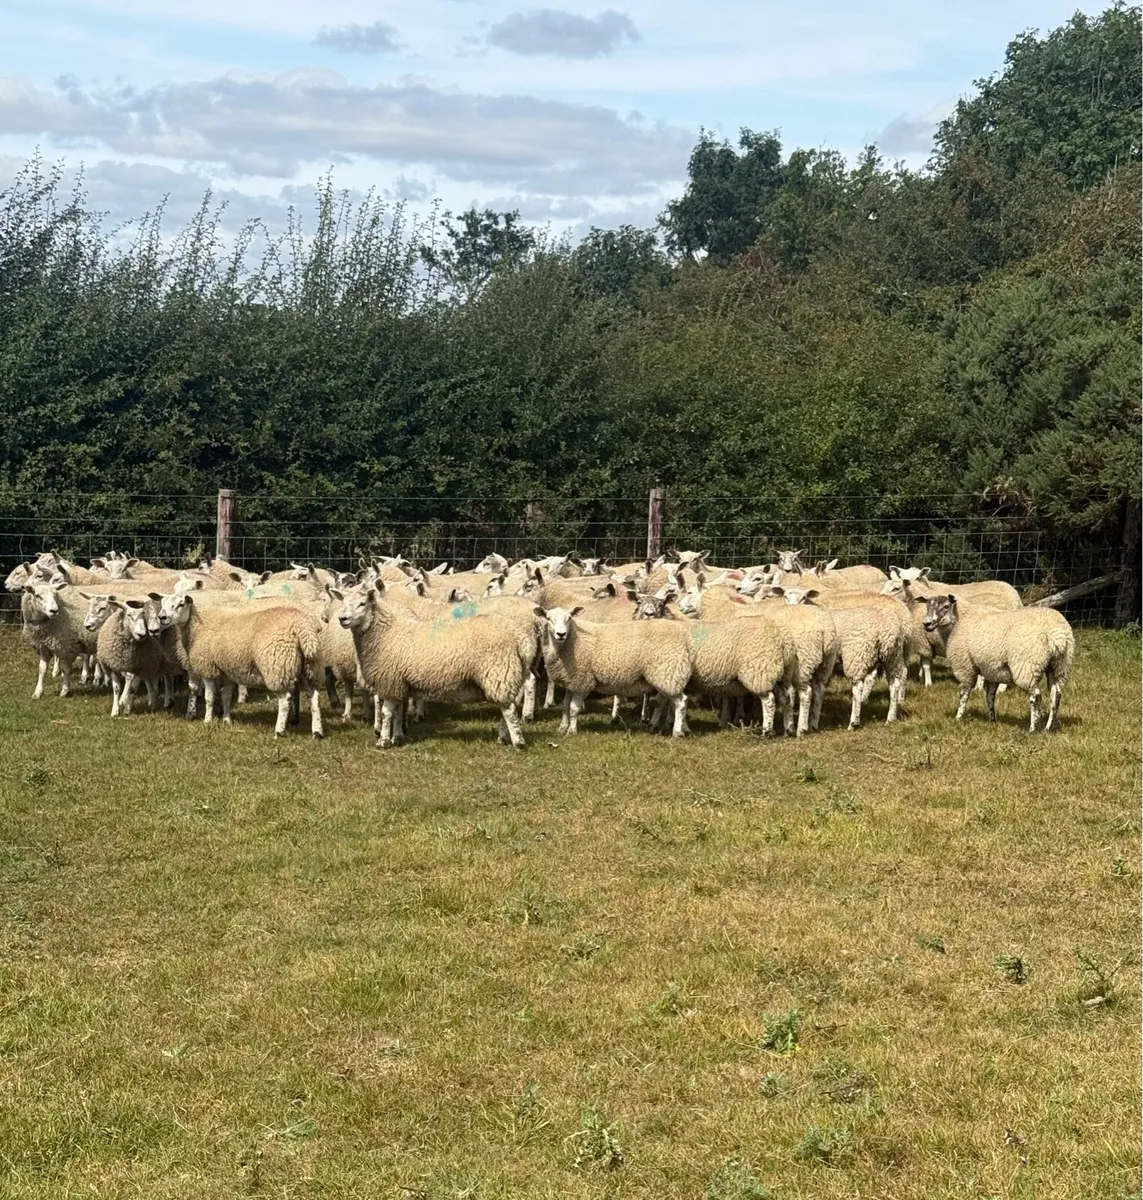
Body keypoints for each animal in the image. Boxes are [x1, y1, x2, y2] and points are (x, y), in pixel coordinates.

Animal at [157, 592, 325, 737]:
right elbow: (225, 697)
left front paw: (207, 721)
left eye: (181, 604)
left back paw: (279, 731)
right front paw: (226, 720)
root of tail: (303, 629)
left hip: (277, 667)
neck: (197, 627)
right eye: (162, 604)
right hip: (310, 667)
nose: (162, 617)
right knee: (314, 697)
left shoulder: (207, 669)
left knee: (285, 701)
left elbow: (209, 697)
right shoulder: (228, 671)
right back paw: (317, 731)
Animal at [532, 605, 693, 737]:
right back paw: (660, 726)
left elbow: (573, 708)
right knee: (664, 700)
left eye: (569, 618)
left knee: (681, 702)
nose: (561, 634)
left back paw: (677, 732)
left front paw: (571, 731)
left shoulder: (582, 681)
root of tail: (684, 635)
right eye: (548, 619)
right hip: (665, 675)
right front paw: (562, 728)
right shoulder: (571, 682)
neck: (569, 643)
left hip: (668, 671)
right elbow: (565, 706)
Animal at [780, 587, 909, 728]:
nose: (793, 608)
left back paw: (853, 723)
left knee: (858, 688)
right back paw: (891, 718)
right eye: (785, 596)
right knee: (895, 684)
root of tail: (884, 626)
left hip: (858, 654)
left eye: (803, 597)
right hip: (892, 655)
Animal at [922, 595, 1074, 731]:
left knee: (1036, 697)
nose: (926, 624)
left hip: (1027, 666)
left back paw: (1032, 729)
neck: (960, 619)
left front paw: (958, 718)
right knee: (1056, 695)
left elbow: (964, 694)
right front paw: (992, 720)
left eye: (946, 606)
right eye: (927, 606)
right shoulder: (992, 670)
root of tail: (1057, 635)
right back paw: (1048, 727)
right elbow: (990, 696)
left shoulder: (965, 667)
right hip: (1060, 666)